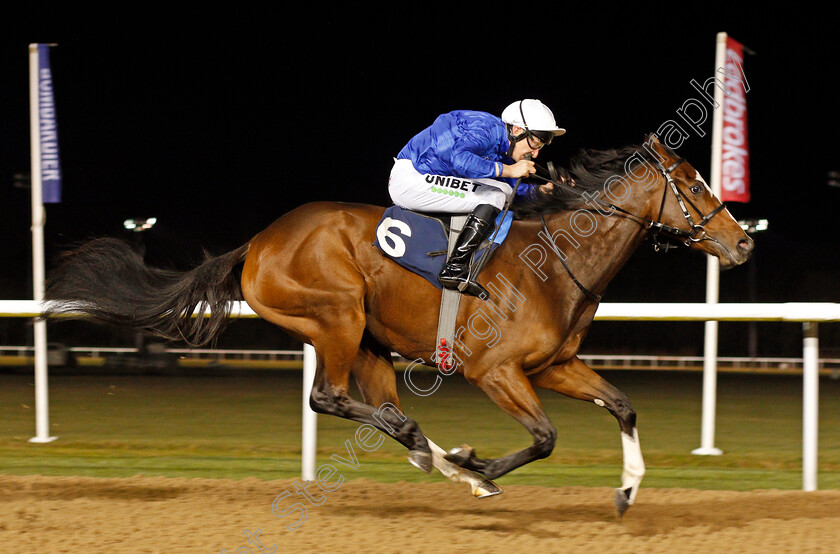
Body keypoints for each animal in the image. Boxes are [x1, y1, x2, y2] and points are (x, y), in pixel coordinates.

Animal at [46, 134, 756, 512]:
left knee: (382, 407)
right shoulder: (495, 371)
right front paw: (482, 469)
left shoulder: (553, 364)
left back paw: (434, 454)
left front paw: (628, 491)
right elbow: (545, 437)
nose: (744, 242)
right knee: (329, 397)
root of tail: (258, 242)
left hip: (369, 340)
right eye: (694, 184)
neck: (558, 260)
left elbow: (623, 405)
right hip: (336, 313)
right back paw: (444, 456)